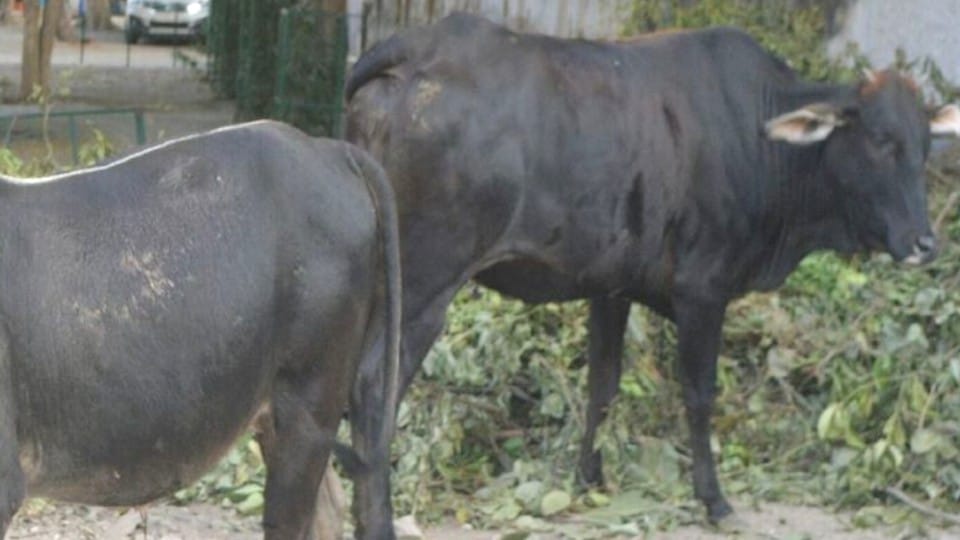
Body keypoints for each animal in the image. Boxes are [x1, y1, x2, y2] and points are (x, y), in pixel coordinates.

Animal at [344, 12, 960, 538]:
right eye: (880, 141)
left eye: (925, 144)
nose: (925, 242)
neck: (760, 142)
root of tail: (418, 46)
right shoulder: (703, 290)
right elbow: (699, 394)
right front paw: (714, 500)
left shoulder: (611, 286)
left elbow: (603, 385)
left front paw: (589, 481)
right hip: (423, 283)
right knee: (376, 389)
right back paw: (379, 518)